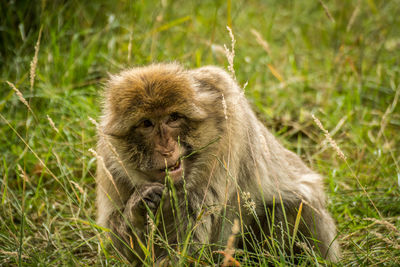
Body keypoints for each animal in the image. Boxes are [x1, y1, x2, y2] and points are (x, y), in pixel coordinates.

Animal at [94, 63, 340, 266]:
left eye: (173, 118)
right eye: (147, 123)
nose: (166, 149)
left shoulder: (226, 140)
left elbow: (191, 241)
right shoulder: (110, 160)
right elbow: (122, 246)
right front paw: (139, 206)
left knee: (296, 203)